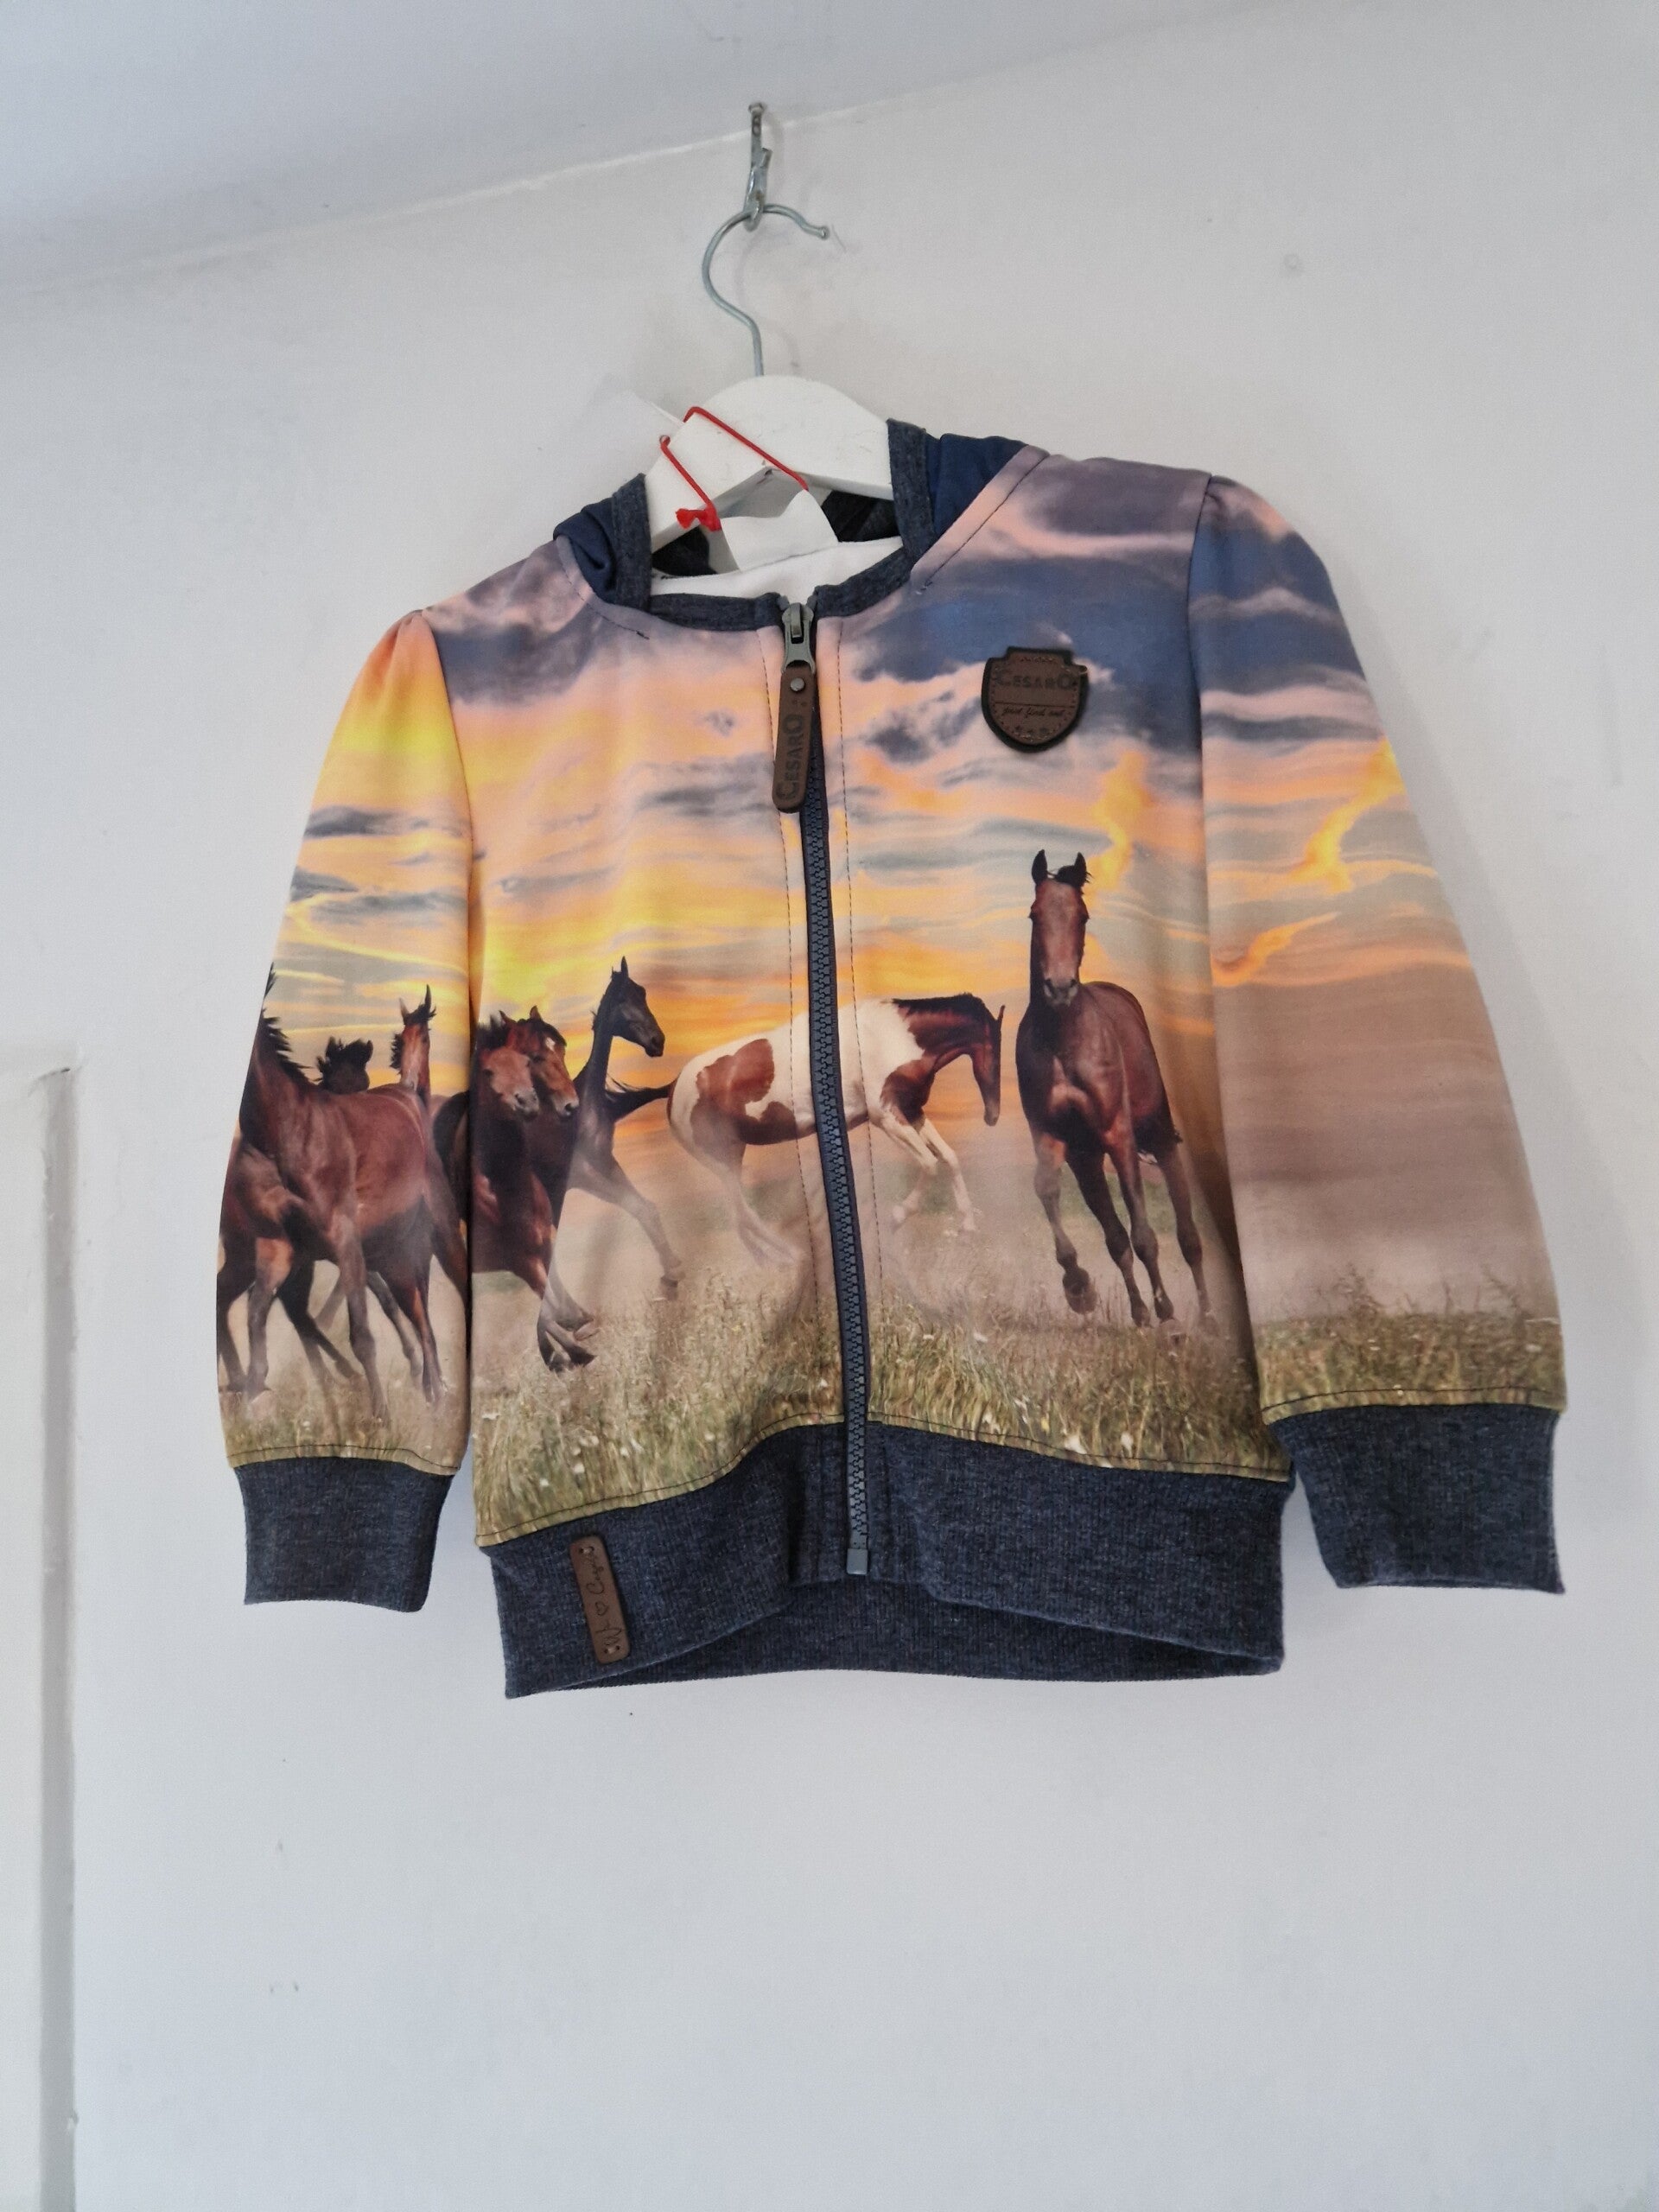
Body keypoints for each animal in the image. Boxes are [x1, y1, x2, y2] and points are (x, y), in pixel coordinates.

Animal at [665, 993, 1003, 1265]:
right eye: (996, 1052)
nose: (993, 1115)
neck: (892, 1035)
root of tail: (673, 1087)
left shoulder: (911, 1112)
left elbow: (949, 1158)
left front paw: (967, 1229)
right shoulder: (886, 1116)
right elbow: (930, 1163)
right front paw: (895, 1218)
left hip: (733, 1156)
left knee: (738, 1218)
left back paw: (772, 1263)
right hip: (720, 1161)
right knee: (744, 1213)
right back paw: (793, 1257)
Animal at [1016, 850, 1209, 1328]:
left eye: (1082, 916)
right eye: (1034, 914)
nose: (1059, 987)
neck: (1063, 1042)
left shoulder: (1117, 1134)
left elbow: (1145, 1234)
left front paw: (1168, 1317)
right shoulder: (1056, 1138)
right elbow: (1049, 1191)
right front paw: (1079, 1288)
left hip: (1159, 1138)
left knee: (1187, 1235)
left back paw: (1207, 1316)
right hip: (1088, 1161)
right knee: (1115, 1237)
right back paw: (1139, 1313)